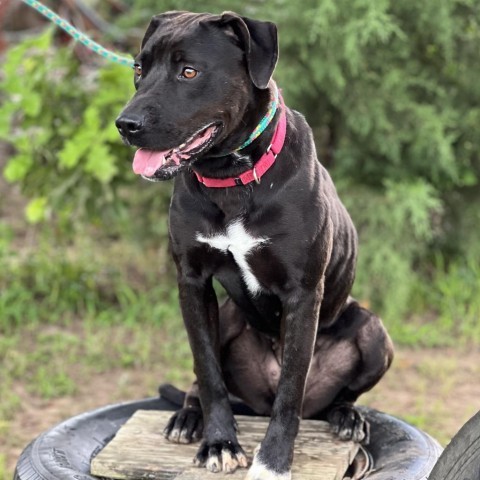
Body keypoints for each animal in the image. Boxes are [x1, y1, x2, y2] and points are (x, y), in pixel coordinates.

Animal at [116, 11, 394, 480]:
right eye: (139, 69)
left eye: (188, 71)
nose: (125, 125)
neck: (232, 179)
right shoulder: (192, 283)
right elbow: (208, 371)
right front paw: (219, 443)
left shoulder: (303, 294)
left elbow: (291, 391)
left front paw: (273, 462)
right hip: (228, 317)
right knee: (201, 378)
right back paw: (187, 416)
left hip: (373, 331)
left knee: (332, 395)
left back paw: (347, 417)